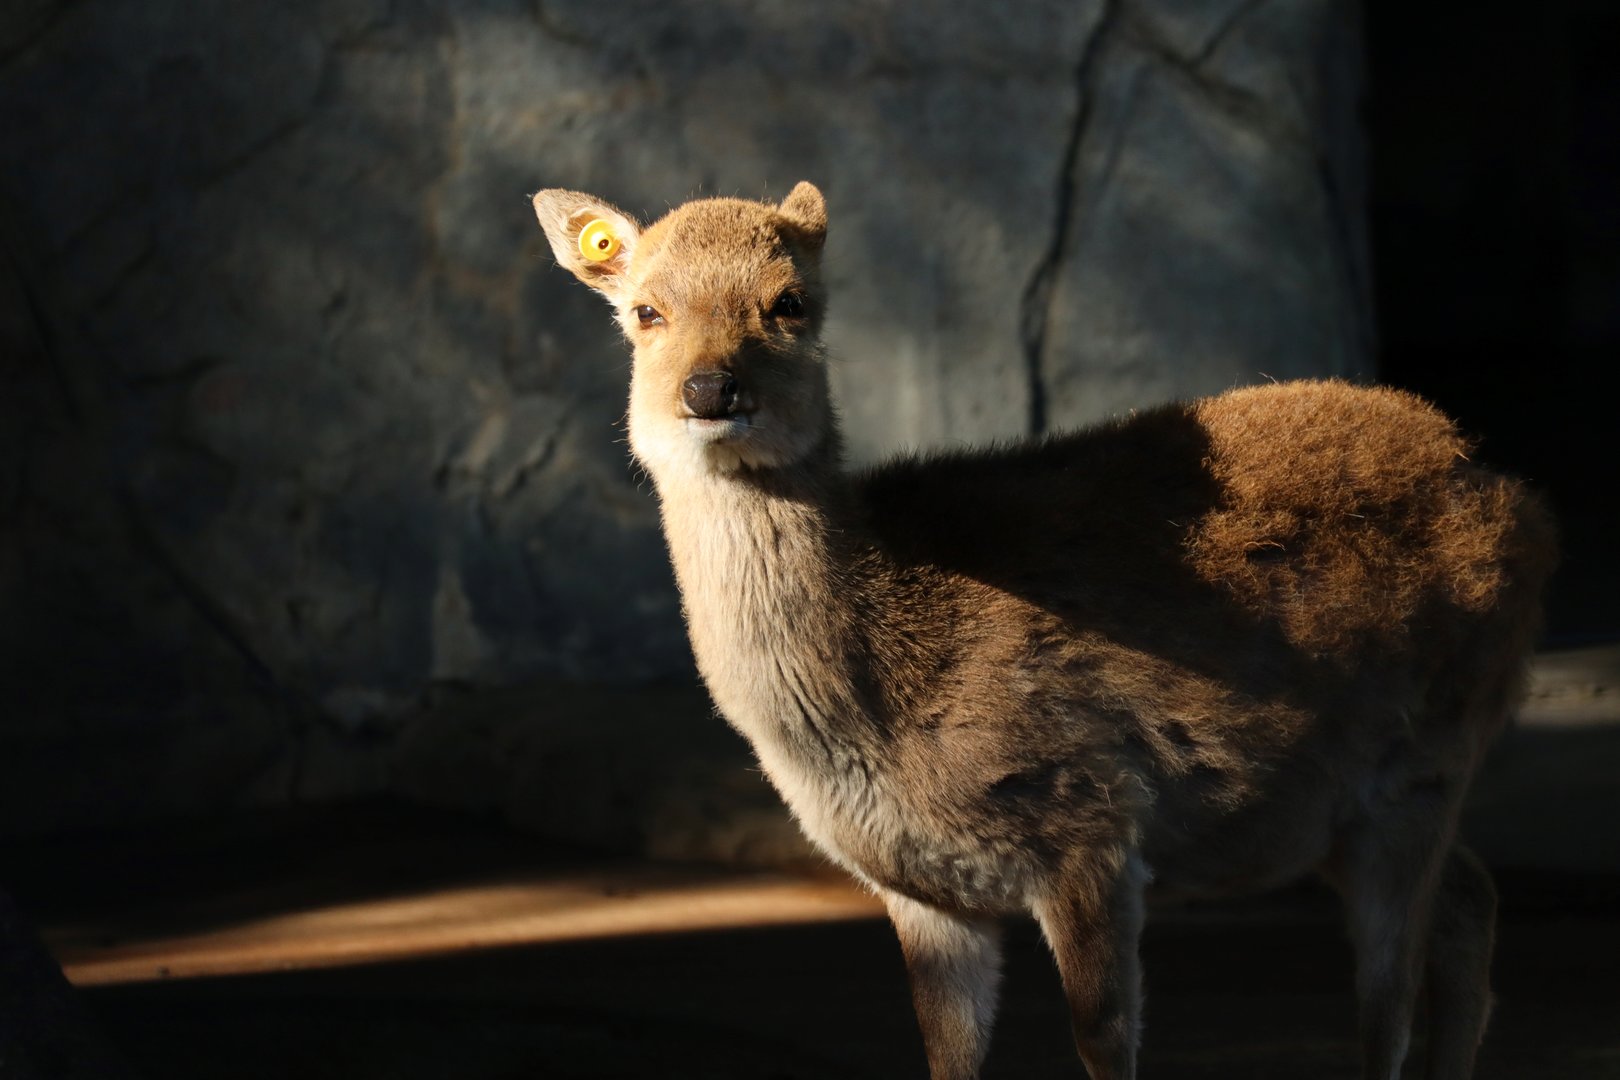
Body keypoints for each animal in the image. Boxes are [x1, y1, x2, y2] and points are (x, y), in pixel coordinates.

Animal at [530, 181, 1556, 1080]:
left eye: (790, 302)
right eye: (646, 311)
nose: (711, 390)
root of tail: (1517, 499)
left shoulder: (1092, 817)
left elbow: (1103, 1040)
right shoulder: (924, 891)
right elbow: (946, 1053)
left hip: (1428, 756)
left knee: (1393, 988)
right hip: (1328, 811)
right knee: (1469, 903)